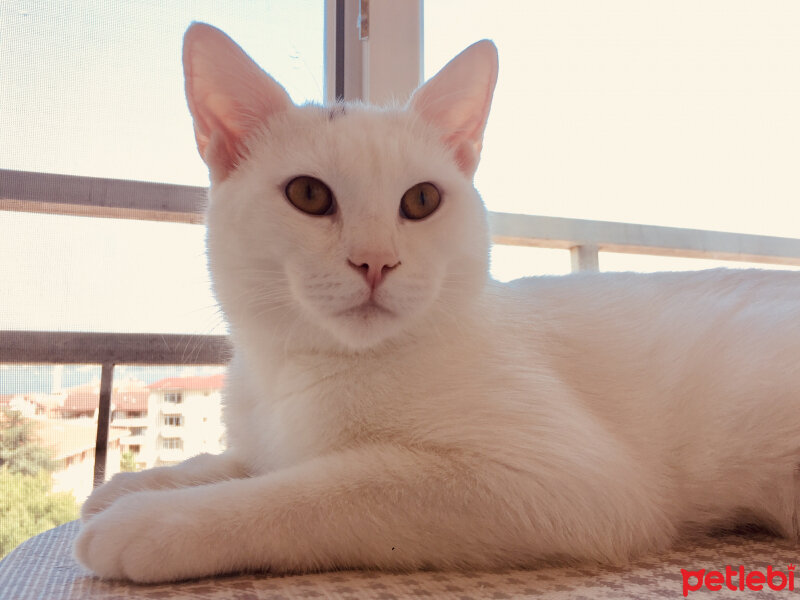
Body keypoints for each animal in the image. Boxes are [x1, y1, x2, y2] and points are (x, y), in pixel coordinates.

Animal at [73, 22, 800, 580]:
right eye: (309, 195)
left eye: (421, 200)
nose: (375, 261)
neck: (299, 371)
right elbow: (240, 461)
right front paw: (135, 484)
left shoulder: (569, 480)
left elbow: (320, 488)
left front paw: (153, 519)